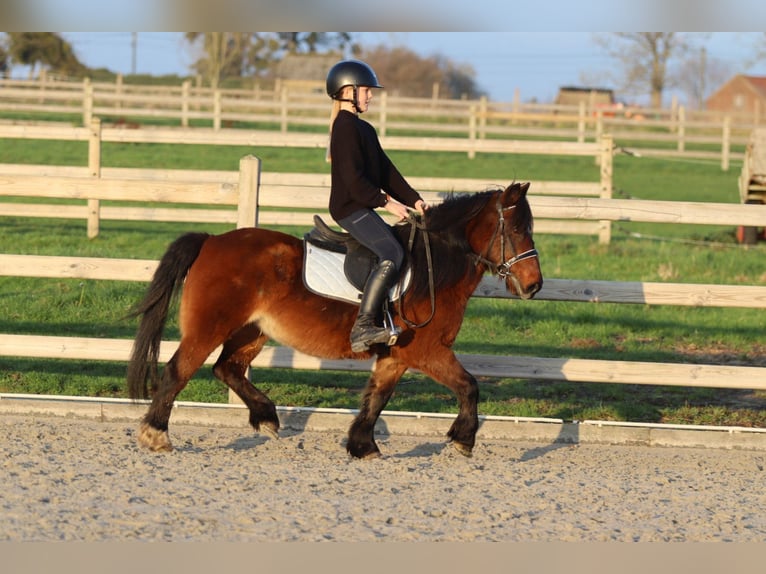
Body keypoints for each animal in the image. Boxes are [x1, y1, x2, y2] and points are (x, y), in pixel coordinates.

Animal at [126, 181, 543, 459]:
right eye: (517, 229)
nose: (534, 286)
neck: (433, 268)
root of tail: (212, 240)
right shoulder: (428, 351)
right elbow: (469, 386)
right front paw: (463, 439)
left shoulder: (396, 356)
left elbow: (377, 397)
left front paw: (362, 445)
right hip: (210, 326)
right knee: (179, 370)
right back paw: (156, 434)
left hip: (251, 330)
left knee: (226, 369)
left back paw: (266, 417)